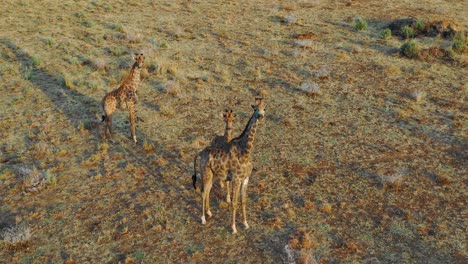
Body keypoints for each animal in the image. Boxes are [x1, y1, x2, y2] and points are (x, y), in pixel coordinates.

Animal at [197, 98, 266, 234]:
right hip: (206, 174)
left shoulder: (245, 178)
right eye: (255, 109)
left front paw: (245, 223)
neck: (245, 152)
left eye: (264, 108)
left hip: (212, 175)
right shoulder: (236, 179)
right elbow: (234, 203)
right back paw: (203, 219)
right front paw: (234, 228)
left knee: (208, 191)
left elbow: (243, 201)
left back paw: (209, 212)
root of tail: (200, 153)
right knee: (203, 192)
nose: (260, 116)